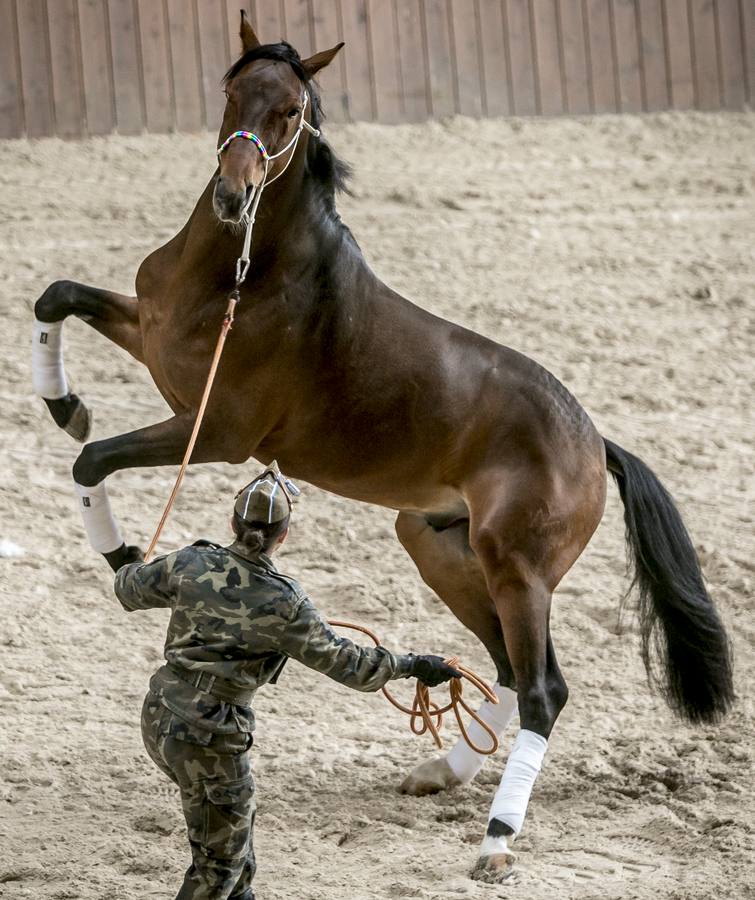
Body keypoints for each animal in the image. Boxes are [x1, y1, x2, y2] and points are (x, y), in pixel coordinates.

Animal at [32, 14, 736, 884]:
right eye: (232, 90)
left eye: (291, 110)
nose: (233, 196)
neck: (239, 277)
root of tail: (592, 440)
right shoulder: (150, 338)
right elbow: (56, 298)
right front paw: (63, 401)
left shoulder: (216, 433)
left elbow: (91, 459)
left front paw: (120, 550)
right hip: (441, 550)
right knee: (508, 671)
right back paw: (440, 772)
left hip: (519, 573)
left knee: (545, 689)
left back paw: (495, 841)